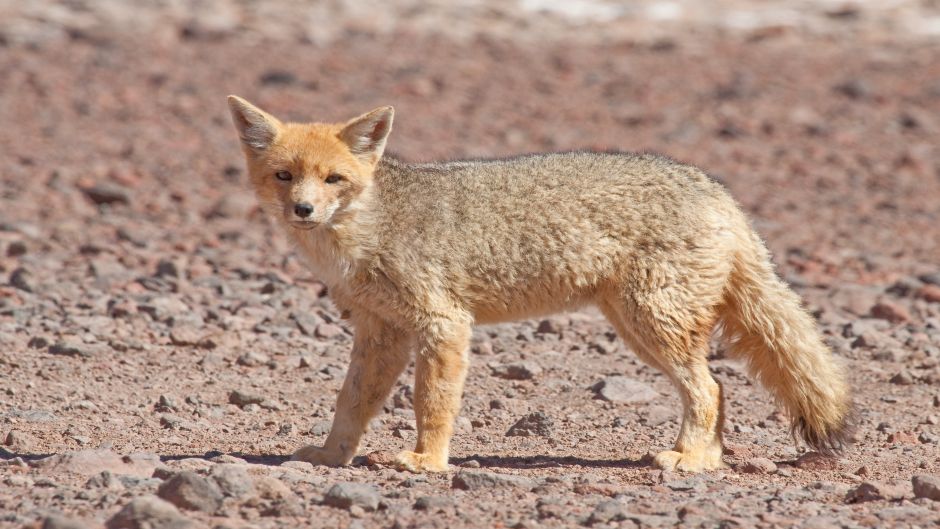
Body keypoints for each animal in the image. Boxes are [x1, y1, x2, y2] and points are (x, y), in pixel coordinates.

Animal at [226, 95, 854, 473]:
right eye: (284, 176)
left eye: (334, 179)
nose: (304, 209)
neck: (367, 230)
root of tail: (717, 189)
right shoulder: (382, 331)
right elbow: (351, 401)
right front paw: (332, 456)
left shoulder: (444, 325)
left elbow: (433, 402)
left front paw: (428, 461)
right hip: (638, 326)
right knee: (716, 390)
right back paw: (701, 458)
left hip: (653, 326)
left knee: (712, 389)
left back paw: (690, 460)